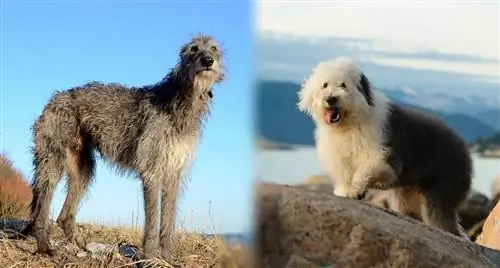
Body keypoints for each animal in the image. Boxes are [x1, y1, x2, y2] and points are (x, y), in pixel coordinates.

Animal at [21, 33, 225, 260]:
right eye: (193, 48)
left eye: (214, 48)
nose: (208, 61)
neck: (179, 101)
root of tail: (56, 98)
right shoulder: (152, 171)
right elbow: (153, 222)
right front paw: (150, 256)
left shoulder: (174, 174)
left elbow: (168, 220)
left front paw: (167, 258)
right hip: (53, 160)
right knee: (41, 209)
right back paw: (45, 247)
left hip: (82, 168)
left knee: (64, 215)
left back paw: (81, 246)